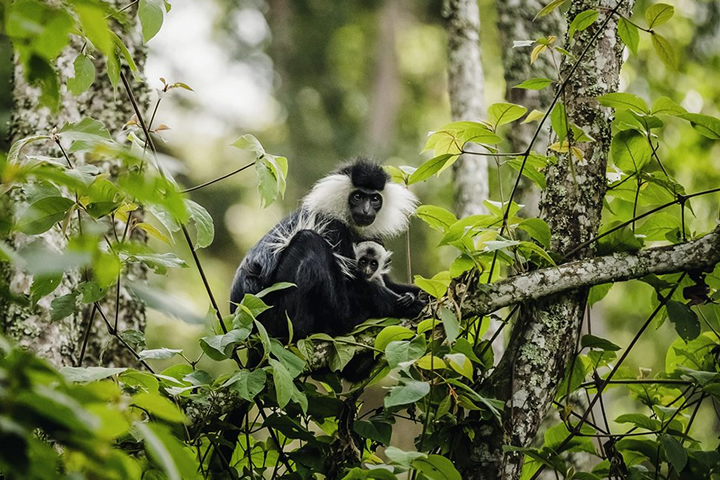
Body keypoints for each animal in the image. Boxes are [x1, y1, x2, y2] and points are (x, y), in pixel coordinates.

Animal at [229, 158, 422, 338]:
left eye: (375, 198)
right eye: (358, 197)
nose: (367, 211)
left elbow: (384, 280)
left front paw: (419, 293)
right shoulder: (333, 228)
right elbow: (353, 283)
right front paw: (410, 305)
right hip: (276, 314)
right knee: (309, 241)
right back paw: (344, 320)